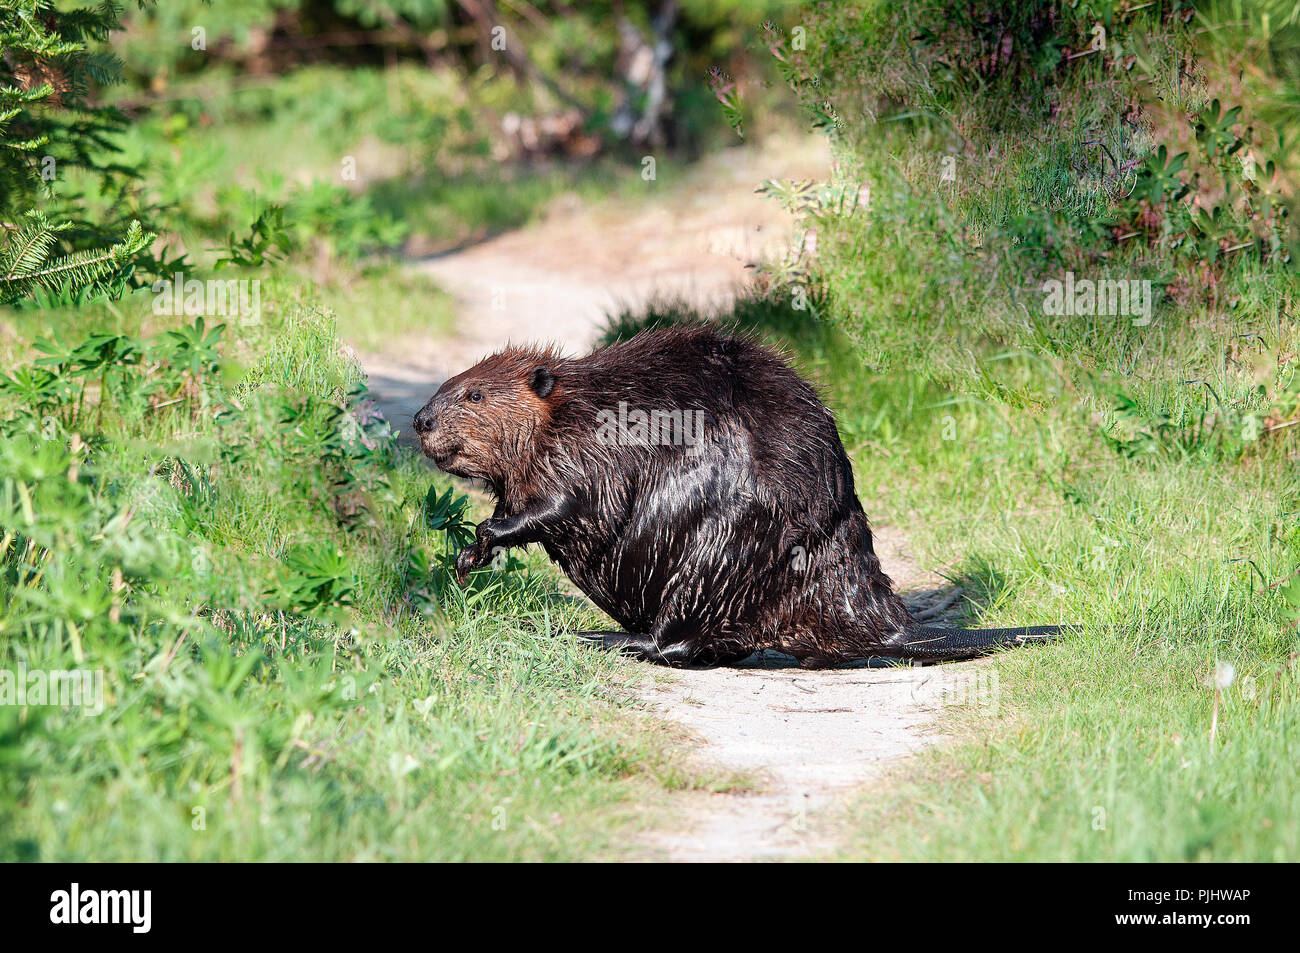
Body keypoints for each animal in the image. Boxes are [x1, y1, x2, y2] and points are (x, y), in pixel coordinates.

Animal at [410, 330, 1060, 665]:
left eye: (472, 395)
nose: (420, 419)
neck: (572, 405)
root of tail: (887, 623)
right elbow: (515, 506)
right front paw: (468, 557)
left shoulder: (587, 448)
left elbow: (568, 505)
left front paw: (483, 540)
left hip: (718, 543)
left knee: (676, 632)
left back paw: (603, 638)